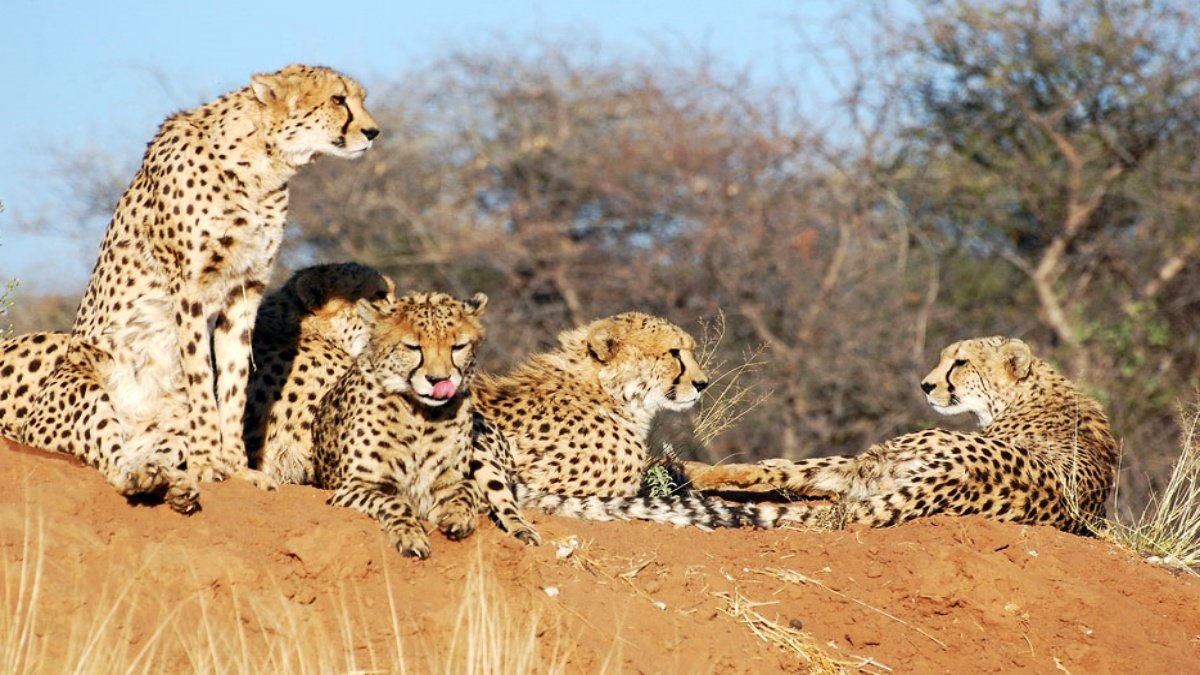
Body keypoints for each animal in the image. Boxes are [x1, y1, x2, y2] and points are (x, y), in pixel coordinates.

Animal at [16, 64, 379, 513]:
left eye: (358, 99)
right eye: (337, 99)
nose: (373, 132)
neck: (262, 164)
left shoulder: (244, 290)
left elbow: (235, 382)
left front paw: (237, 466)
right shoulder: (189, 287)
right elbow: (201, 373)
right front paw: (209, 461)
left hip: (166, 428)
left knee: (142, 455)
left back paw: (170, 484)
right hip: (89, 390)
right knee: (113, 459)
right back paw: (154, 479)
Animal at [311, 291, 538, 558]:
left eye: (457, 347)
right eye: (413, 347)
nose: (439, 380)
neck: (421, 414)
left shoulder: (448, 482)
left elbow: (465, 490)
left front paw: (457, 516)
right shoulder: (352, 487)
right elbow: (393, 502)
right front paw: (410, 537)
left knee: (503, 499)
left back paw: (523, 530)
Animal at [683, 336, 1120, 534]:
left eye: (960, 362)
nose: (926, 386)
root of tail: (957, 474)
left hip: (884, 456)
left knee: (795, 479)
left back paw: (690, 469)